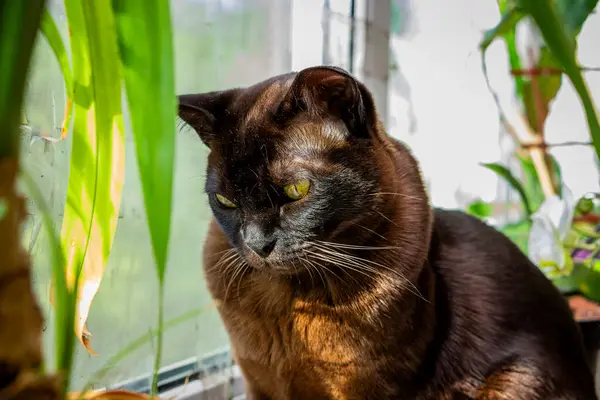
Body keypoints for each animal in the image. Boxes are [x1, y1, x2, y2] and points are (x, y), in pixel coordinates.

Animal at [177, 66, 596, 400]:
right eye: (226, 201)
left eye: (297, 190)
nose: (257, 244)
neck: (289, 307)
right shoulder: (259, 384)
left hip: (515, 380)